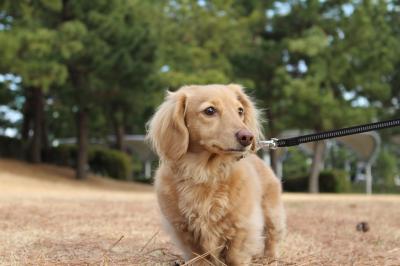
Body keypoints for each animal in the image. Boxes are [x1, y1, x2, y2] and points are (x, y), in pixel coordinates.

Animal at [146, 84, 284, 264]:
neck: (205, 173)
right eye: (210, 110)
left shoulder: (243, 224)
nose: (247, 137)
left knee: (272, 235)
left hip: (272, 212)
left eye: (240, 110)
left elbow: (235, 254)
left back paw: (270, 257)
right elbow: (199, 256)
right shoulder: (183, 229)